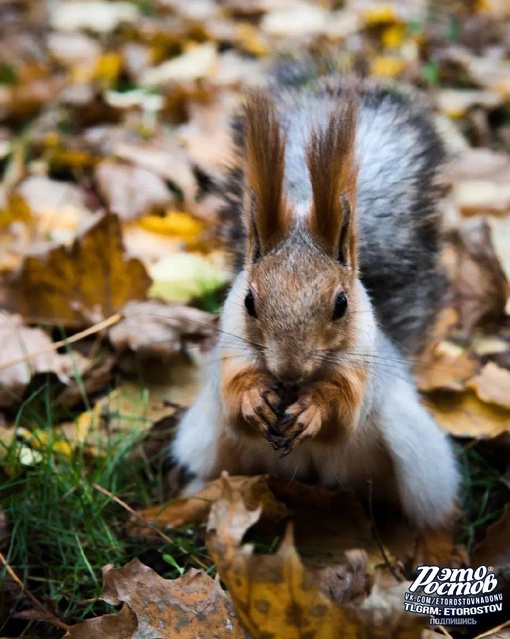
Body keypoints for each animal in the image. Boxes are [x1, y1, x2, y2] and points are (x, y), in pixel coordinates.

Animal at [169, 76, 460, 528]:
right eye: (249, 301)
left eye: (341, 303)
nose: (288, 372)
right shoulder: (232, 351)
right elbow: (234, 399)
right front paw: (254, 399)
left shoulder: (361, 368)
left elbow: (342, 412)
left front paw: (312, 411)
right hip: (208, 440)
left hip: (414, 456)